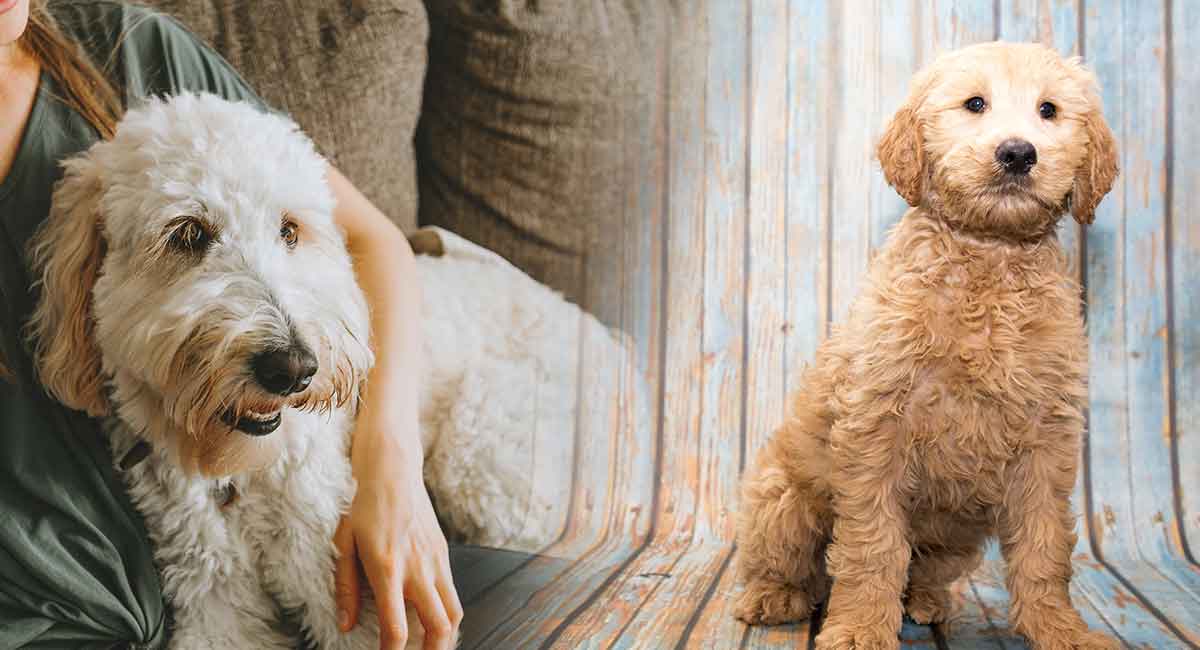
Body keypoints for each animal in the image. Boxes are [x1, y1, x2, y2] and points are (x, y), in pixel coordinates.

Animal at [24, 94, 624, 647]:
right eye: (187, 234)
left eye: (289, 230)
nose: (292, 368)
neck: (239, 473)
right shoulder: (213, 593)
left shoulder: (348, 590)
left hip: (483, 460)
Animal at [734, 43, 1118, 647]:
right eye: (975, 104)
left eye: (1049, 110)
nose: (1017, 153)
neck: (988, 259)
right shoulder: (875, 432)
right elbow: (872, 548)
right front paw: (859, 629)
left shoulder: (1046, 442)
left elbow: (1044, 548)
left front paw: (1059, 628)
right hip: (782, 501)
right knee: (796, 563)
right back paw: (777, 596)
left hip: (959, 529)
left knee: (925, 566)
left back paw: (927, 601)